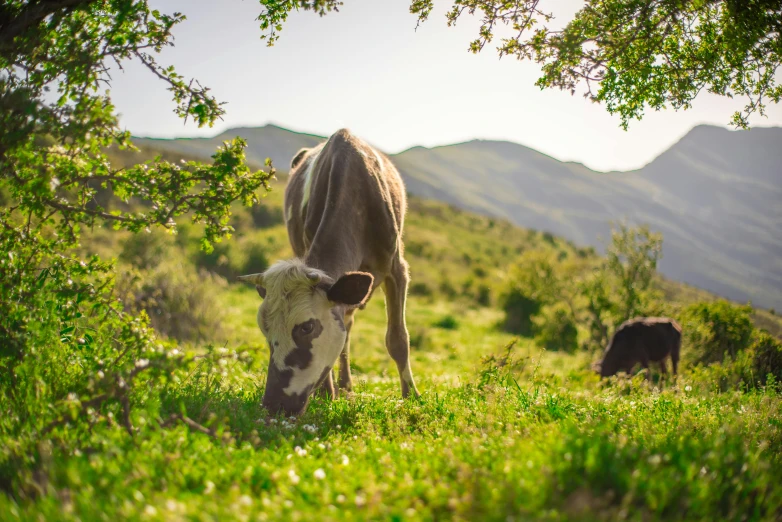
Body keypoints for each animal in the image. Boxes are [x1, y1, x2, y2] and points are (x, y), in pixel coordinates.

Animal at [240, 129, 420, 414]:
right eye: (264, 329)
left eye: (307, 327)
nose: (274, 404)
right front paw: (327, 395)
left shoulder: (397, 268)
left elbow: (398, 339)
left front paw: (412, 397)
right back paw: (343, 388)